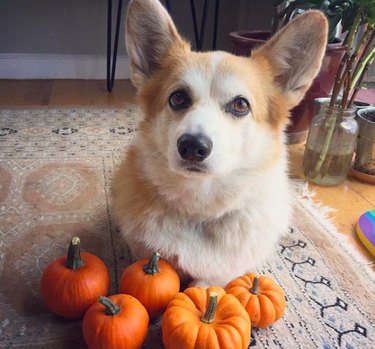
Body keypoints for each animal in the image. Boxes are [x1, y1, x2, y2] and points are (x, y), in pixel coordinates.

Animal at [112, 0, 328, 286]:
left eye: (240, 105)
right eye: (177, 98)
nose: (192, 147)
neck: (202, 208)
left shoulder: (220, 275)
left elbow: (202, 286)